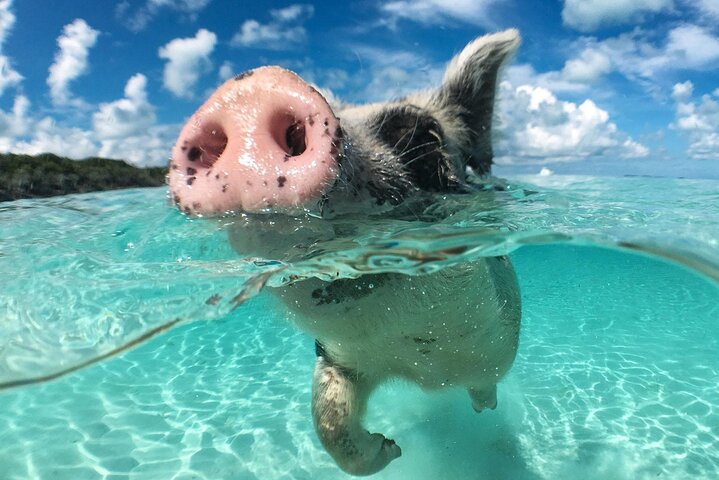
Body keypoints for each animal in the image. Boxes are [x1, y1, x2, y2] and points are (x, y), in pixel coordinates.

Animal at [168, 29, 522, 476]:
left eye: (423, 136)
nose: (251, 90)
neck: (421, 365)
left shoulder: (493, 344)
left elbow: (484, 383)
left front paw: (447, 424)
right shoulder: (338, 358)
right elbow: (329, 420)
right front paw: (392, 449)